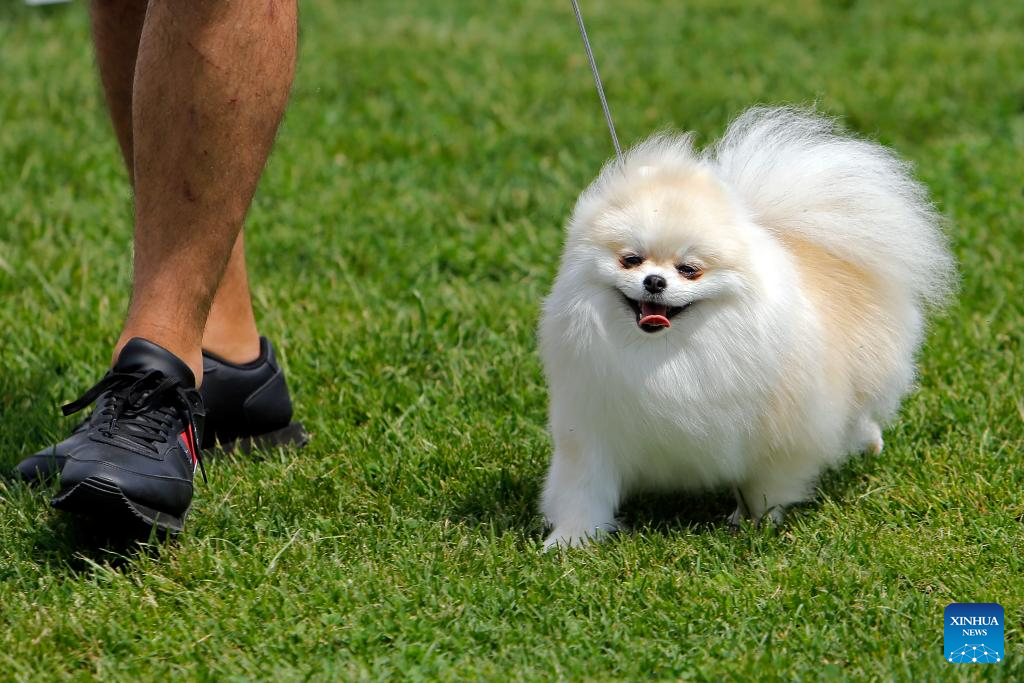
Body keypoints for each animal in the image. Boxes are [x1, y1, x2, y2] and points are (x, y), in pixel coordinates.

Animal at [540, 107, 954, 548]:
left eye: (689, 269)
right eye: (630, 260)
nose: (654, 281)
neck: (660, 355)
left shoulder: (777, 434)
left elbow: (764, 486)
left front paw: (757, 523)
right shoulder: (591, 431)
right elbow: (583, 491)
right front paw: (571, 540)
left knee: (857, 413)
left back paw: (870, 442)